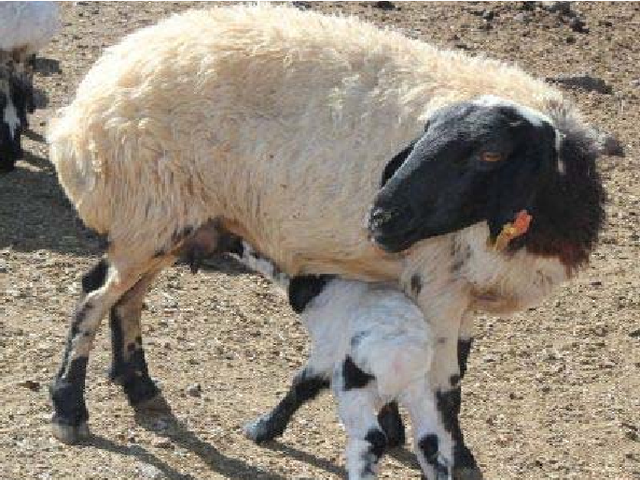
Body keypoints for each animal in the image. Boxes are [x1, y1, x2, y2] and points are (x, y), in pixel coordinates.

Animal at [221, 235, 451, 480]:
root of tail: (401, 359)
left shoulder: (325, 353)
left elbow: (300, 387)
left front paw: (260, 429)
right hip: (421, 395)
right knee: (430, 445)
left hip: (351, 388)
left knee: (373, 439)